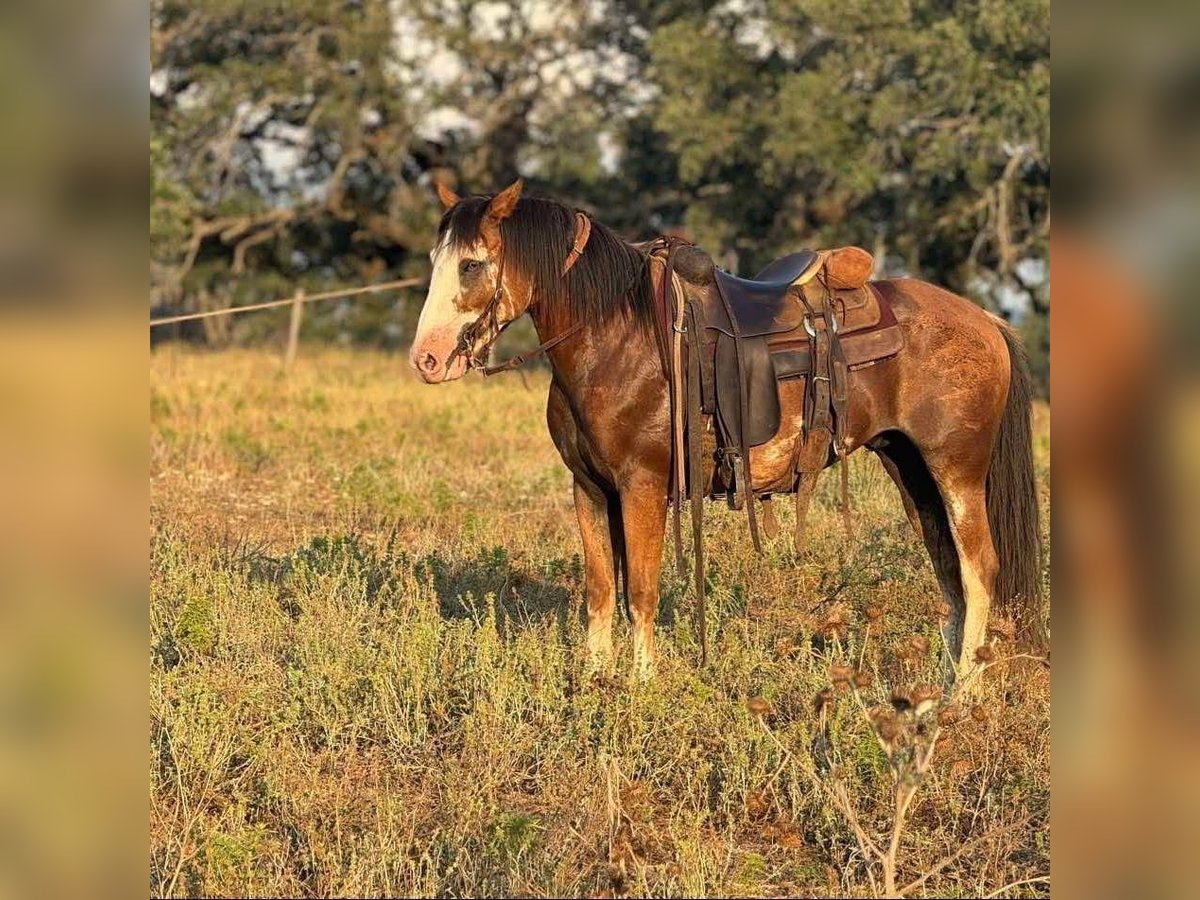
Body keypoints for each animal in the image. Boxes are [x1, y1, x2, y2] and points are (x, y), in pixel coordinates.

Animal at [409, 179, 1044, 682]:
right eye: (436, 260)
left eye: (471, 264)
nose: (427, 360)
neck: (615, 336)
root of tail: (987, 320)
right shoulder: (588, 488)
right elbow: (600, 591)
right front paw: (593, 683)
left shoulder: (643, 487)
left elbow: (641, 591)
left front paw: (641, 687)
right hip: (910, 467)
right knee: (950, 572)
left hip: (957, 470)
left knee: (979, 569)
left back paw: (962, 694)